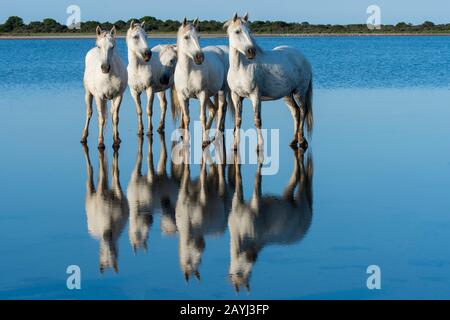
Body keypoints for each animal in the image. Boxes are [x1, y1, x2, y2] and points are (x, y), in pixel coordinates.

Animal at [172, 17, 229, 148]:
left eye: (199, 36)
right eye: (186, 37)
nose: (199, 57)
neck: (188, 72)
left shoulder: (202, 94)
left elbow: (202, 116)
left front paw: (204, 141)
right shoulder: (182, 97)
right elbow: (186, 117)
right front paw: (186, 140)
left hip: (223, 90)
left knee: (221, 108)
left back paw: (216, 135)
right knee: (214, 109)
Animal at [225, 13, 312, 150]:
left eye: (250, 31)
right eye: (237, 31)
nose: (251, 52)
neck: (241, 68)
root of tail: (304, 58)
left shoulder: (255, 96)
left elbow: (257, 120)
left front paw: (260, 145)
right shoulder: (236, 96)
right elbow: (238, 120)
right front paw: (235, 146)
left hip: (299, 92)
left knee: (303, 111)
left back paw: (302, 140)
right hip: (288, 95)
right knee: (296, 112)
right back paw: (294, 140)